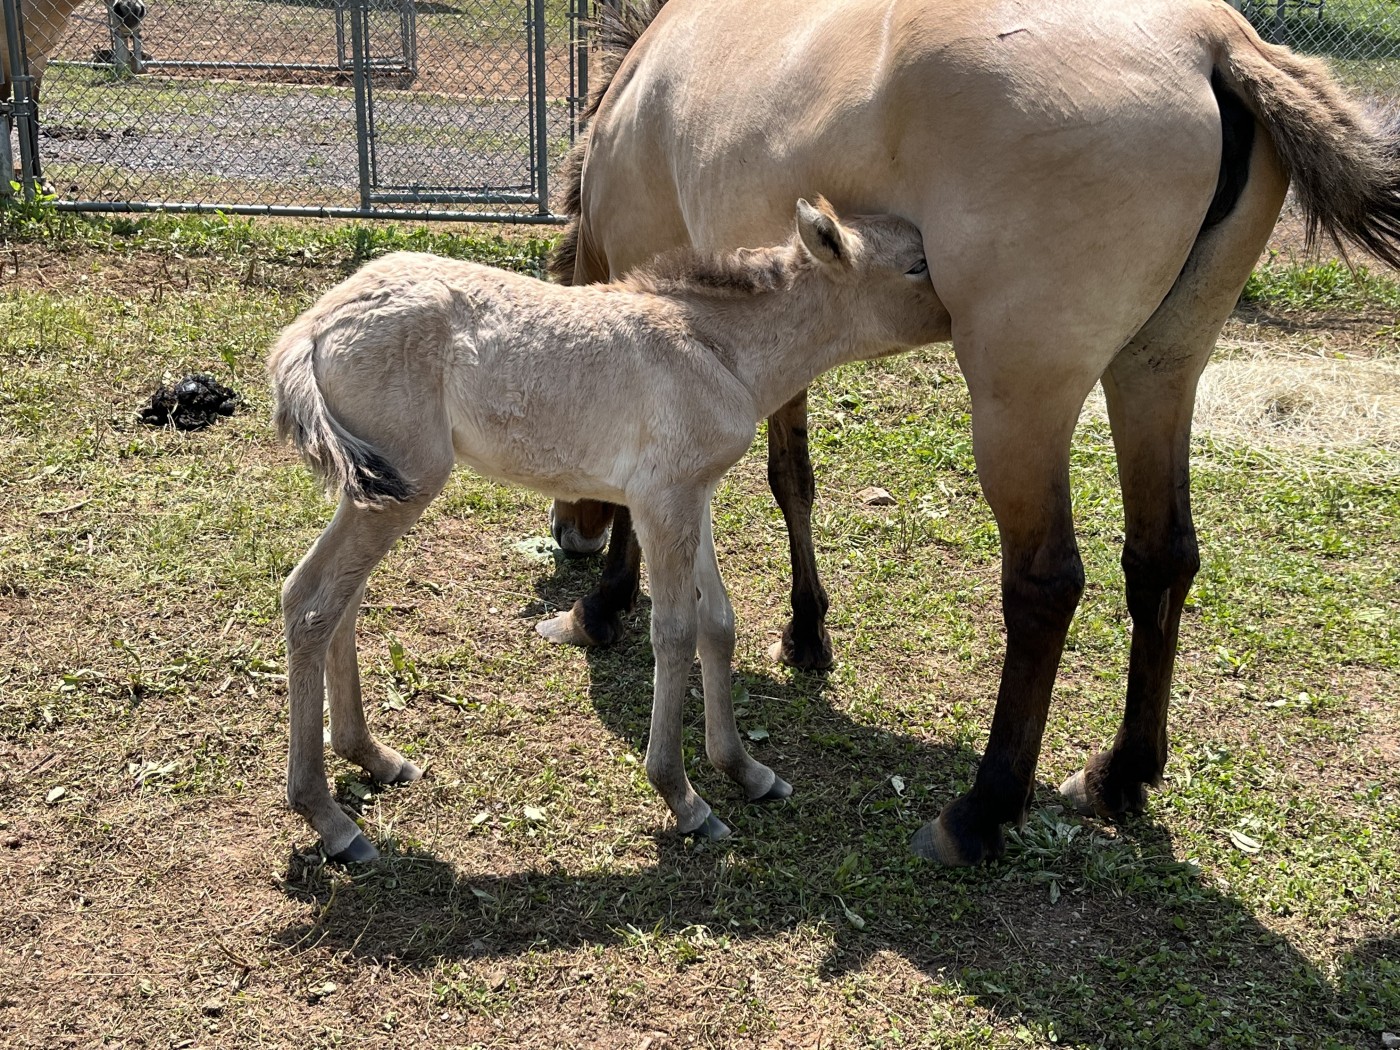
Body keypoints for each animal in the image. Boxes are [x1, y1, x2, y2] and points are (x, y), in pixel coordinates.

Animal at [270, 198, 952, 862]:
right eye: (917, 265)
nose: (963, 318)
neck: (717, 350)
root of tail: (314, 325)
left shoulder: (695, 496)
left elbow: (718, 624)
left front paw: (745, 770)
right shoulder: (661, 504)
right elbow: (674, 633)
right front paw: (684, 798)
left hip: (374, 492)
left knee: (340, 601)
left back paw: (372, 757)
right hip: (403, 486)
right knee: (311, 602)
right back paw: (328, 817)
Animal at [537, 0, 1400, 868]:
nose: (568, 535)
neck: (638, 90)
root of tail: (1212, 40)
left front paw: (605, 604)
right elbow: (793, 480)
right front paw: (807, 631)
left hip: (1020, 404)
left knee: (1046, 582)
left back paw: (981, 810)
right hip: (1158, 370)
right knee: (1162, 559)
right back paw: (1120, 774)